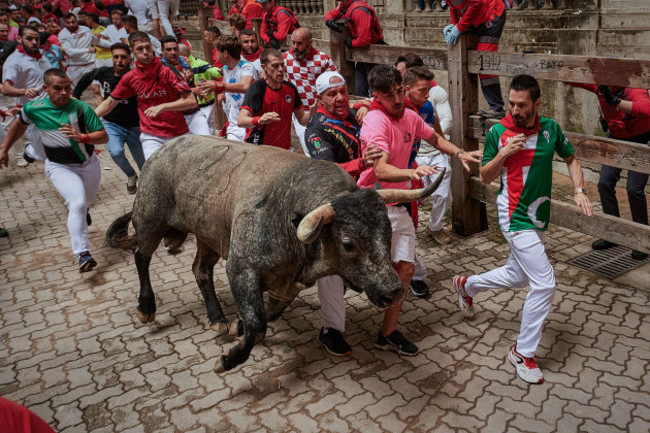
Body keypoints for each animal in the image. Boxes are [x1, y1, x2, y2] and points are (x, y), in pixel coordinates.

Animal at [106, 136, 442, 372]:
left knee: (200, 269)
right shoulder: (241, 269)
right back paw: (146, 307)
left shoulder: (287, 285)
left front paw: (237, 325)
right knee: (141, 254)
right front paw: (228, 359)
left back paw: (217, 317)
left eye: (388, 234)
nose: (393, 290)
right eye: (348, 244)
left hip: (208, 235)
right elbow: (258, 324)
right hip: (151, 218)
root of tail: (164, 150)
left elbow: (265, 315)